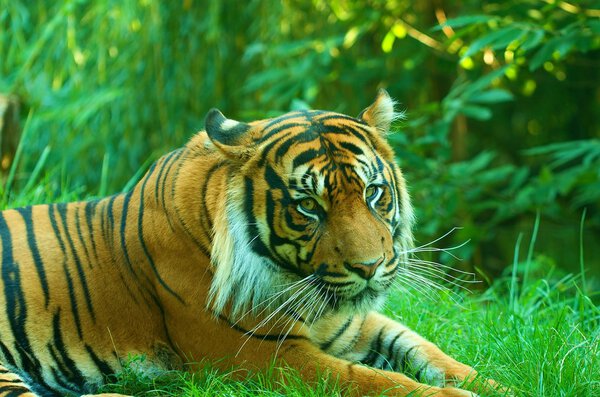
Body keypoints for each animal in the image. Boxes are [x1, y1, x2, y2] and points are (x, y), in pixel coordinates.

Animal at [0, 90, 502, 396]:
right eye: (308, 206)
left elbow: (425, 349)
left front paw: (494, 384)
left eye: (373, 192)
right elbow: (373, 382)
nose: (370, 267)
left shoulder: (349, 324)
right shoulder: (265, 354)